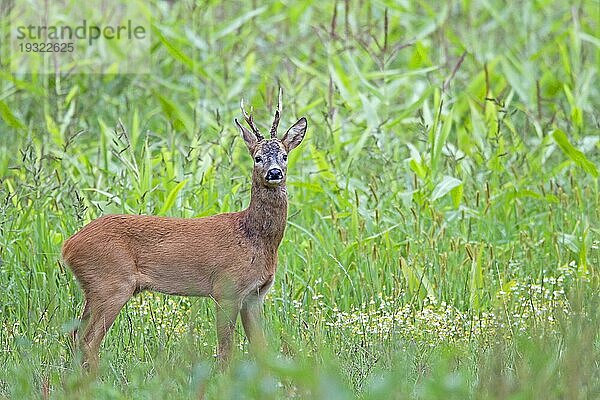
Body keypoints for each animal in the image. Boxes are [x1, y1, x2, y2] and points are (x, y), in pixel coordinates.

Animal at [61, 90, 308, 368]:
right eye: (257, 157)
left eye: (284, 156)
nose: (274, 173)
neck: (253, 237)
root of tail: (68, 245)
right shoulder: (226, 289)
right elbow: (226, 350)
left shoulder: (255, 295)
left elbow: (262, 349)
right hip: (111, 283)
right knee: (88, 340)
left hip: (94, 288)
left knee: (74, 334)